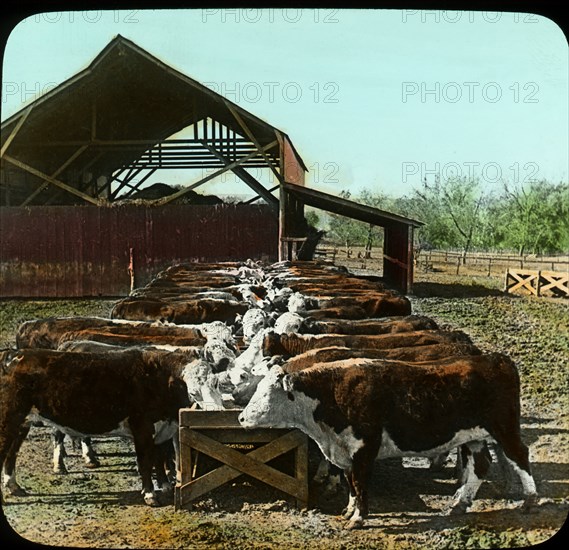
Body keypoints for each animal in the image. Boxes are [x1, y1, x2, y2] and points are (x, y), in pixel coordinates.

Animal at [239, 358, 536, 532]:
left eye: (267, 393)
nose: (241, 417)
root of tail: (497, 360)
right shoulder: (345, 453)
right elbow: (350, 483)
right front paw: (348, 511)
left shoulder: (364, 449)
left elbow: (359, 483)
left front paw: (358, 518)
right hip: (474, 437)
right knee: (481, 466)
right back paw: (459, 504)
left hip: (504, 429)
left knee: (520, 456)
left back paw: (529, 501)